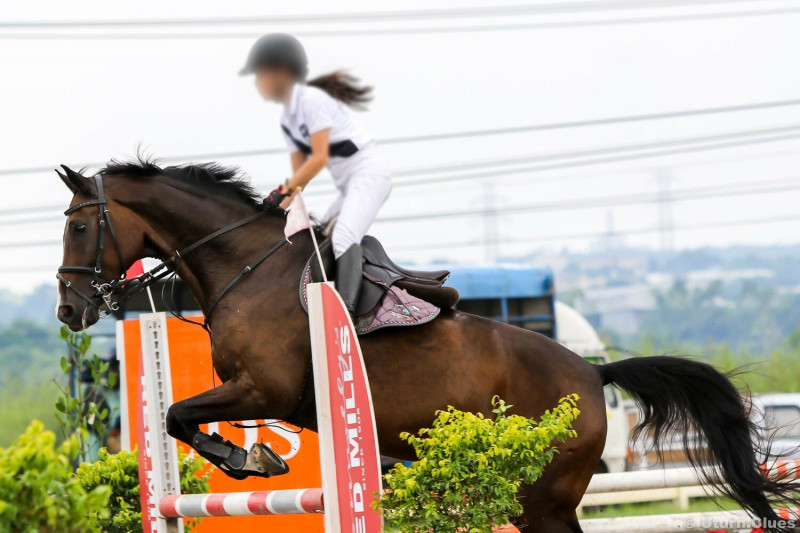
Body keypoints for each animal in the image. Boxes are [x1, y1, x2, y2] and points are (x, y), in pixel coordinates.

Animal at [56, 159, 800, 532]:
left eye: (76, 227)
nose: (69, 309)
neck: (246, 267)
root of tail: (595, 375)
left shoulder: (262, 389)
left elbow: (178, 414)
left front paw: (252, 458)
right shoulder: (259, 394)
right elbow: (177, 417)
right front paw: (254, 456)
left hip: (542, 497)